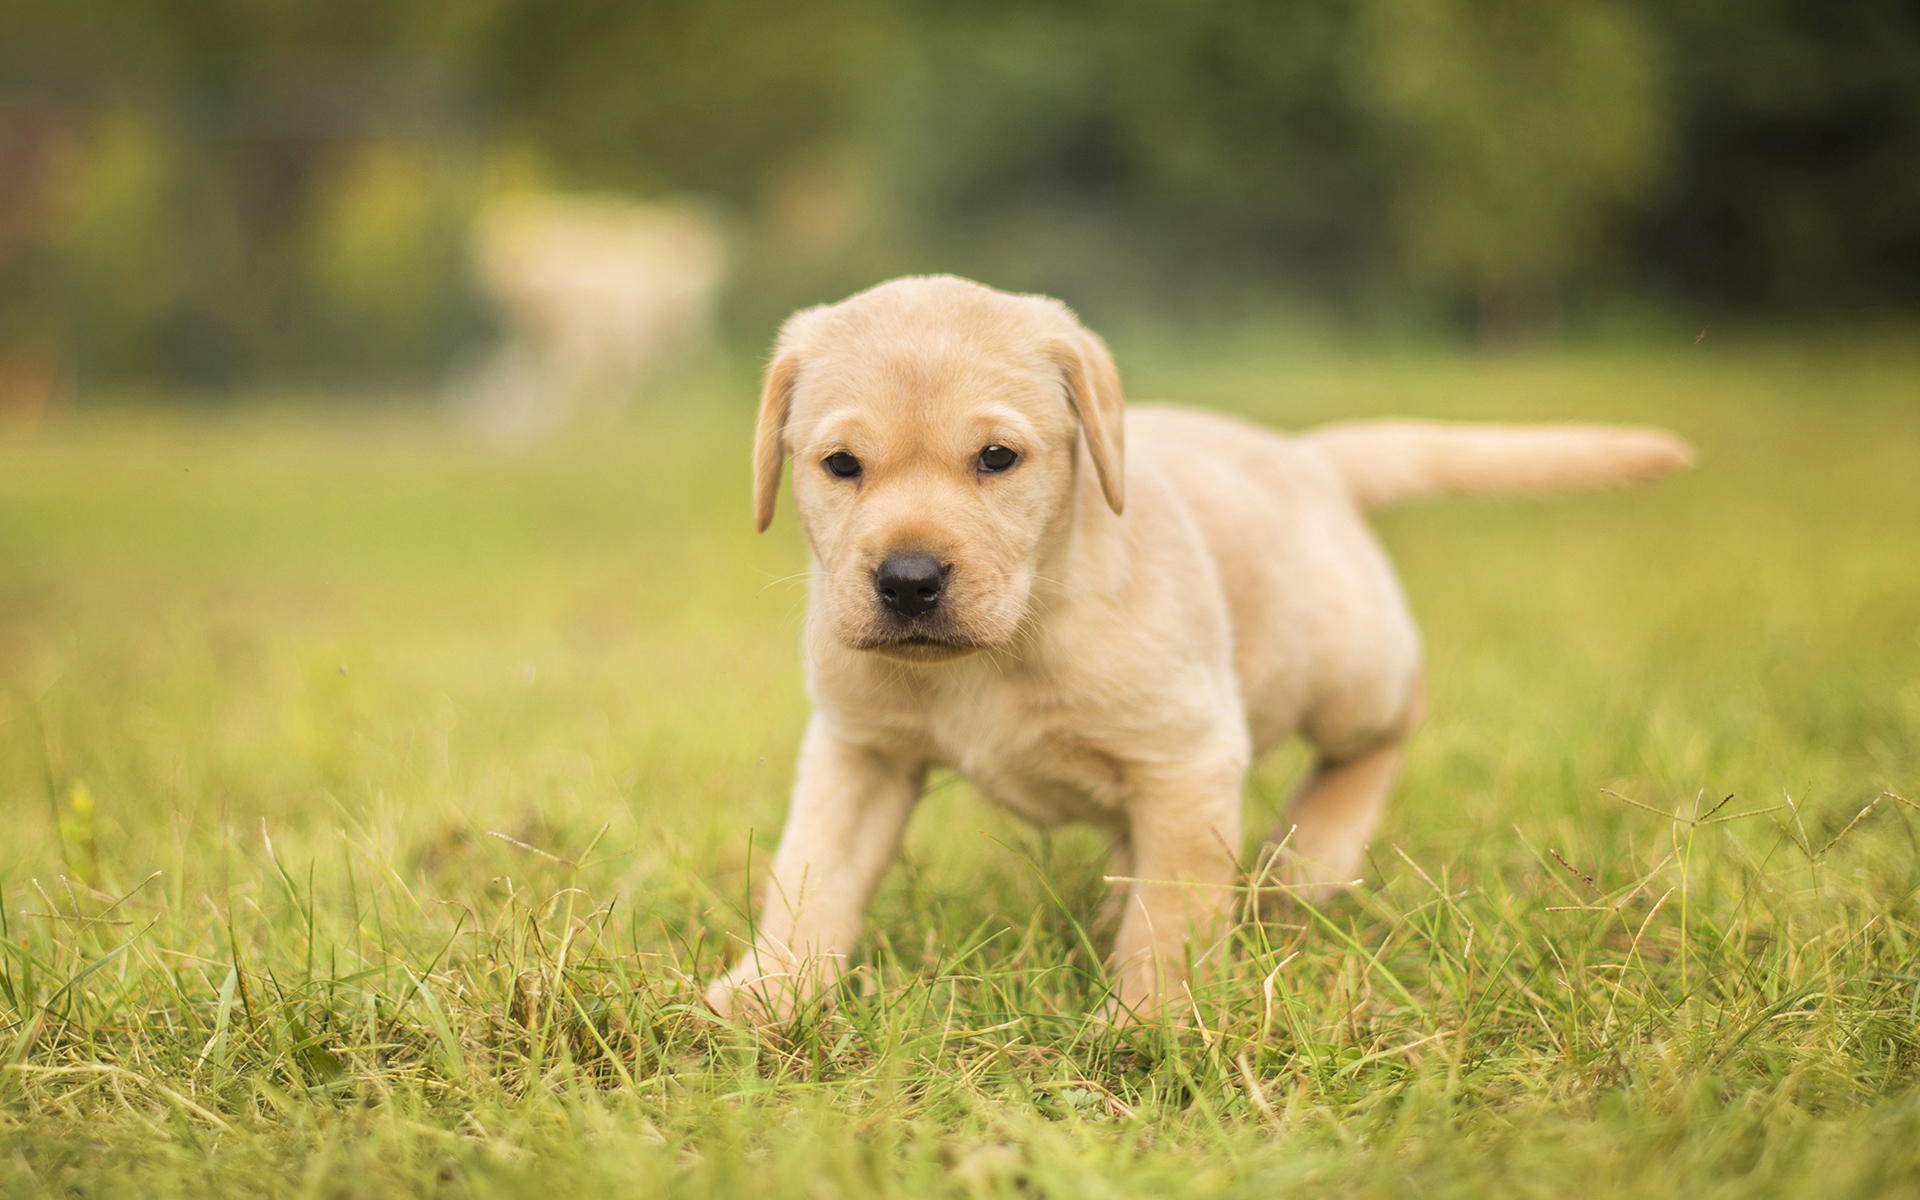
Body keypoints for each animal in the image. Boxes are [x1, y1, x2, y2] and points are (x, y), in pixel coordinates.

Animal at [702, 274, 1681, 1021]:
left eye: (996, 458)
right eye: (840, 465)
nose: (907, 580)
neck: (1011, 639)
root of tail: (1311, 457)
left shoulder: (1187, 761)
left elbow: (1173, 917)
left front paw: (1150, 1020)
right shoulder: (858, 753)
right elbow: (811, 875)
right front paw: (767, 993)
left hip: (1350, 675)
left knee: (1394, 721)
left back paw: (1313, 856)